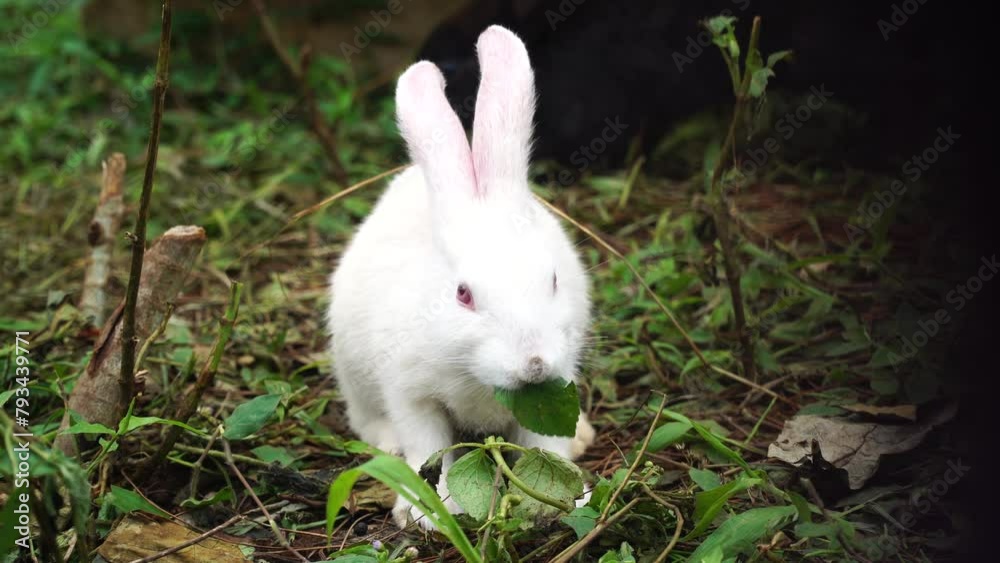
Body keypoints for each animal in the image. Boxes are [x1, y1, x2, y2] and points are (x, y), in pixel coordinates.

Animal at [325, 24, 596, 531]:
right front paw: (429, 514)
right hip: (353, 374)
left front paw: (570, 499)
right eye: (463, 294)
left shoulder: (558, 383)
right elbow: (428, 449)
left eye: (552, 280)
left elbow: (545, 446)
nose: (533, 364)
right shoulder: (411, 395)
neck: (474, 372)